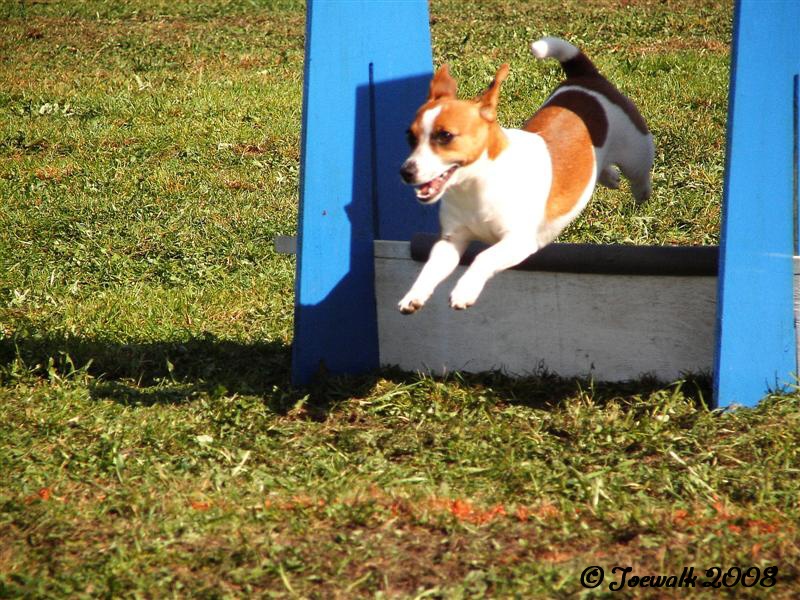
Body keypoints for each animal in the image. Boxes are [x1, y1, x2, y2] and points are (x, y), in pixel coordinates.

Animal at [396, 36, 652, 314]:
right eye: (410, 137)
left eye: (445, 136)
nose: (406, 172)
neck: (476, 186)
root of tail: (585, 76)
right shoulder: (451, 241)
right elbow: (431, 268)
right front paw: (414, 294)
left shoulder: (519, 242)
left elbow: (483, 257)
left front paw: (465, 290)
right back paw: (609, 176)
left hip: (636, 152)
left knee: (640, 173)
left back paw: (640, 190)